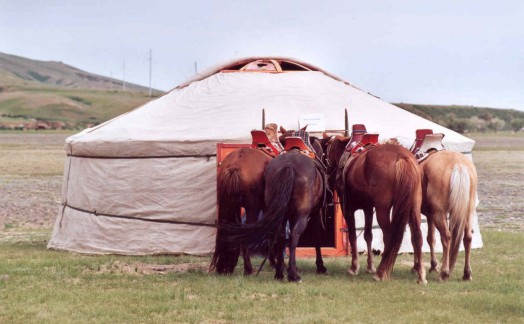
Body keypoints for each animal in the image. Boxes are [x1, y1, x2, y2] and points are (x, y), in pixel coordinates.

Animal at [218, 148, 326, 282]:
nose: (226, 268)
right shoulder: (313, 213)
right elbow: (316, 238)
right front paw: (320, 266)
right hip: (255, 209)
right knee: (291, 235)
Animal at [322, 134, 428, 284]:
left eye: (325, 152)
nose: (327, 178)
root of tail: (402, 157)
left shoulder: (347, 208)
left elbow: (352, 235)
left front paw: (354, 267)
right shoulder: (368, 208)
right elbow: (368, 235)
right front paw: (370, 266)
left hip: (382, 209)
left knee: (389, 236)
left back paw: (381, 272)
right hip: (414, 206)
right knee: (417, 236)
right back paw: (421, 275)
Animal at [418, 151, 478, 280]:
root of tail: (458, 165)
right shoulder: (431, 216)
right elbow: (431, 238)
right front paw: (433, 266)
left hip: (439, 214)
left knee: (446, 237)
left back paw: (444, 272)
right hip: (468, 212)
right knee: (467, 238)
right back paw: (467, 274)